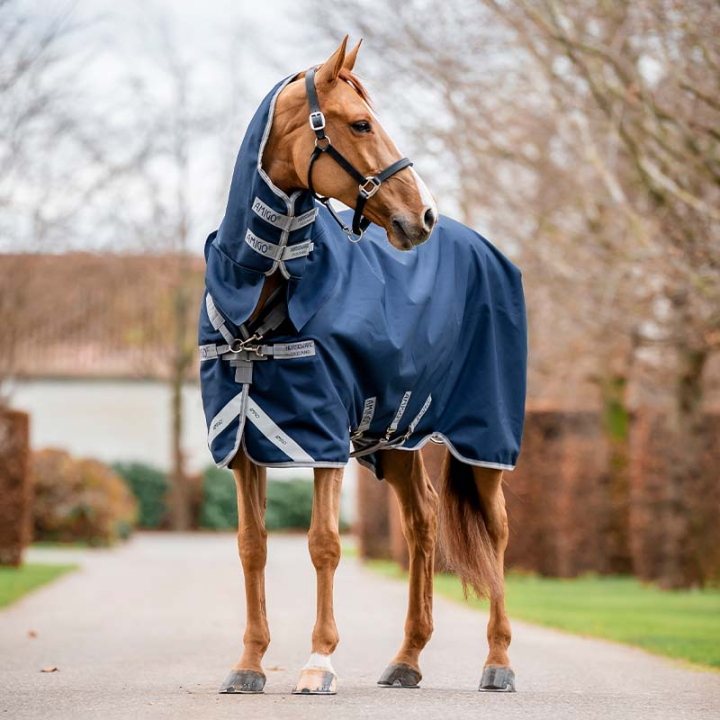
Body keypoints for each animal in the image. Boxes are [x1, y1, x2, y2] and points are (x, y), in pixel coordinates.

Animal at [198, 36, 526, 696]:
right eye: (360, 123)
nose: (423, 217)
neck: (268, 291)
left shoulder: (323, 435)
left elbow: (324, 543)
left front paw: (318, 662)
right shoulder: (243, 440)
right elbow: (252, 546)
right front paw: (249, 664)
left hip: (486, 437)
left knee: (498, 529)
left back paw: (498, 662)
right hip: (395, 438)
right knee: (423, 521)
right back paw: (407, 659)